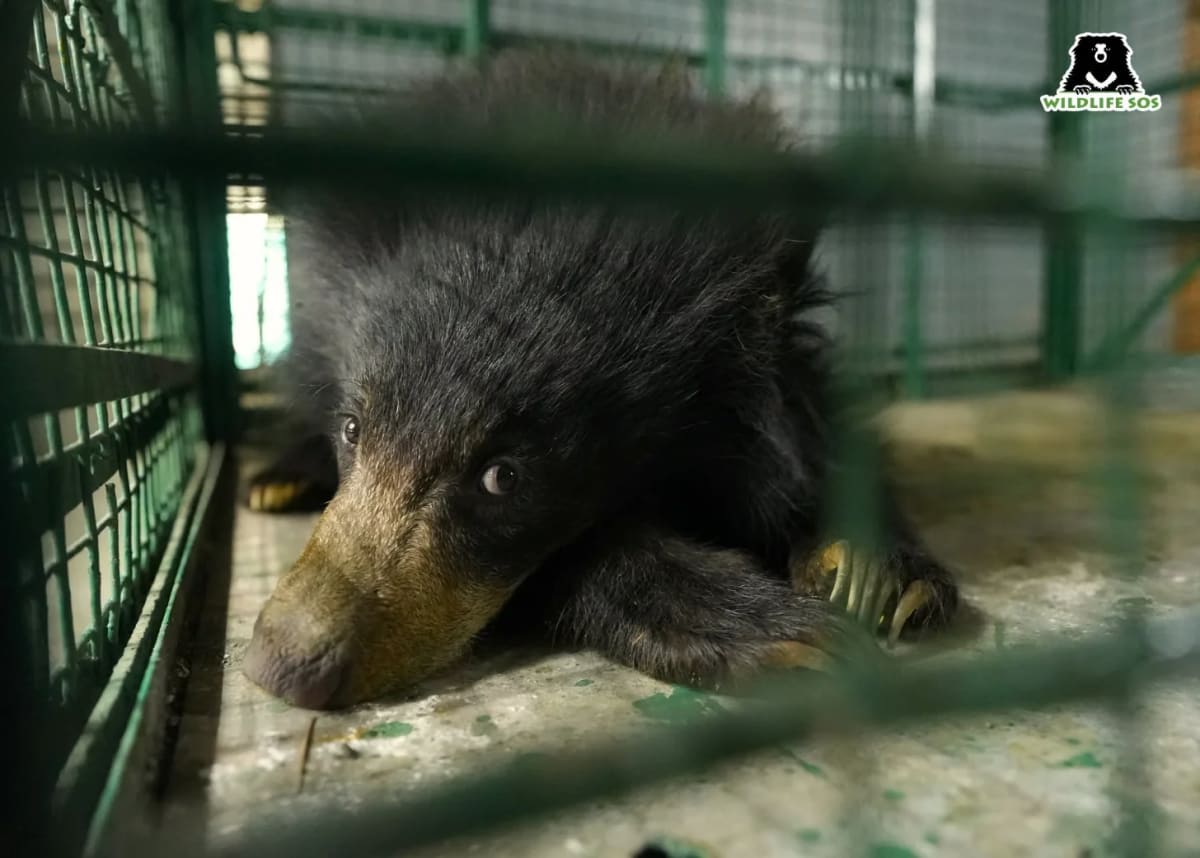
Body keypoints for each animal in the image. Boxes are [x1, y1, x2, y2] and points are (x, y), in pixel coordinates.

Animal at [241, 50, 959, 710]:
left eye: (504, 477)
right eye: (353, 428)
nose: (284, 666)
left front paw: (870, 571)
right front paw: (772, 630)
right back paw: (276, 482)